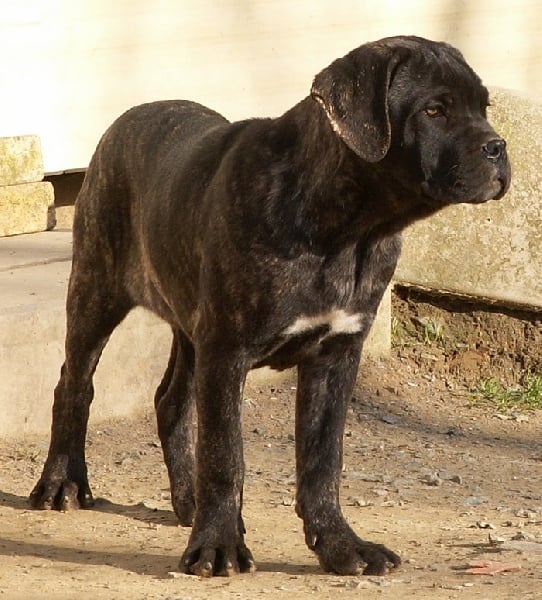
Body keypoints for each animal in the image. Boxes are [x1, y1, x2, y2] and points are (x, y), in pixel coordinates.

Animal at [29, 36, 512, 576]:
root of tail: (129, 116)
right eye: (434, 110)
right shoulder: (227, 351)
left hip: (191, 325)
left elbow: (323, 461)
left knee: (171, 400)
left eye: (485, 108)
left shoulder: (333, 357)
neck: (351, 230)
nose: (498, 147)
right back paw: (62, 483)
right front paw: (218, 546)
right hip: (97, 288)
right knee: (75, 384)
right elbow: (225, 453)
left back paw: (189, 502)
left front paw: (341, 545)